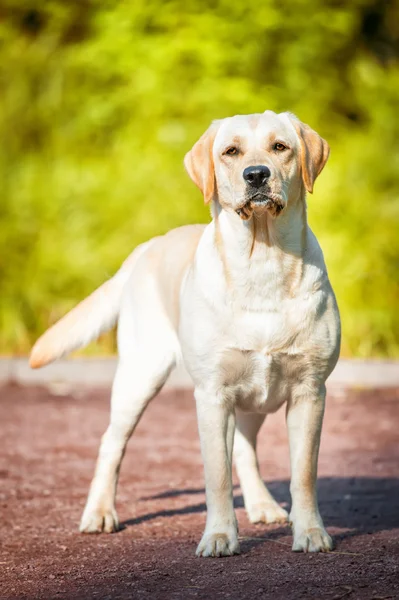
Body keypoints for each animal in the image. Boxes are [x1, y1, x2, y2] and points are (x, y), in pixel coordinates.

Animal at [30, 111, 340, 556]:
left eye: (280, 147)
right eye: (231, 151)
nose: (256, 174)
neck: (262, 260)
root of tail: (147, 246)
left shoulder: (309, 392)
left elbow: (303, 473)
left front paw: (311, 531)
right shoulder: (211, 396)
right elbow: (217, 476)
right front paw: (220, 536)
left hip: (254, 397)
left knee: (245, 449)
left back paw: (263, 505)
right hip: (139, 377)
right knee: (111, 444)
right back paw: (100, 513)